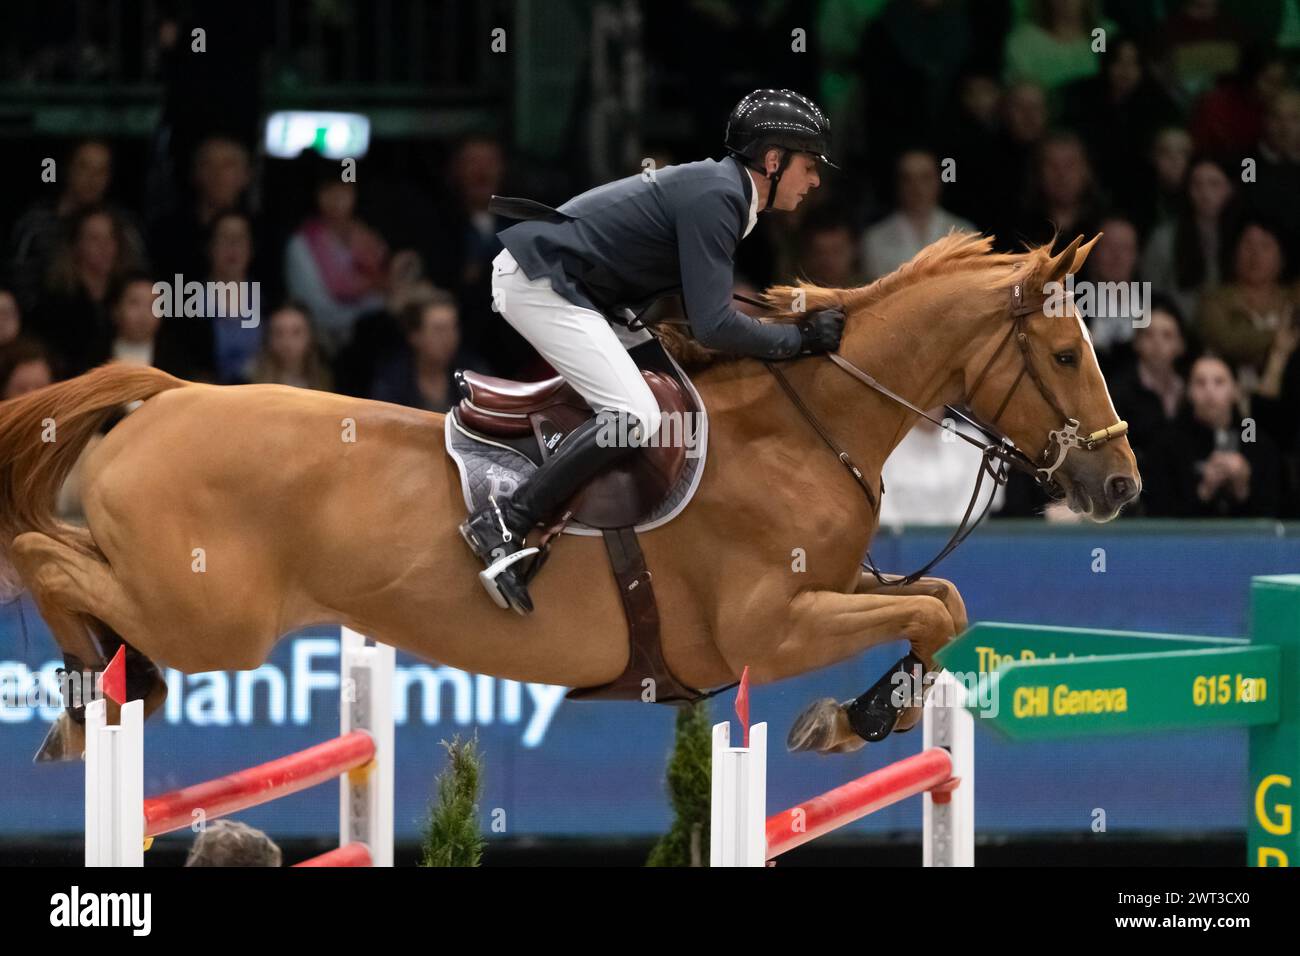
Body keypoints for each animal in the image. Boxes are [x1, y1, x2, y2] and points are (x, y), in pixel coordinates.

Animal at [0, 234, 1138, 764]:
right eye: (1064, 353)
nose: (1121, 482)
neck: (803, 430)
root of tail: (168, 395)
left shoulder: (838, 586)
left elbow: (940, 606)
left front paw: (863, 716)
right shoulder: (769, 626)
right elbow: (933, 612)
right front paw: (848, 719)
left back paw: (96, 690)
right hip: (211, 615)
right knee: (45, 554)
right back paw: (90, 691)